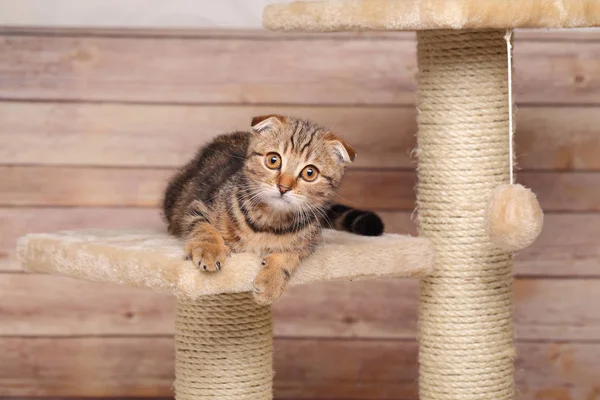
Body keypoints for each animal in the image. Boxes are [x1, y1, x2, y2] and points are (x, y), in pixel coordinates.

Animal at [162, 114, 382, 304]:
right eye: (273, 160)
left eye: (310, 173)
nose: (283, 187)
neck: (268, 221)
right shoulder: (199, 204)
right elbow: (203, 227)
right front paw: (210, 250)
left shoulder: (310, 238)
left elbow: (290, 254)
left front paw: (271, 282)